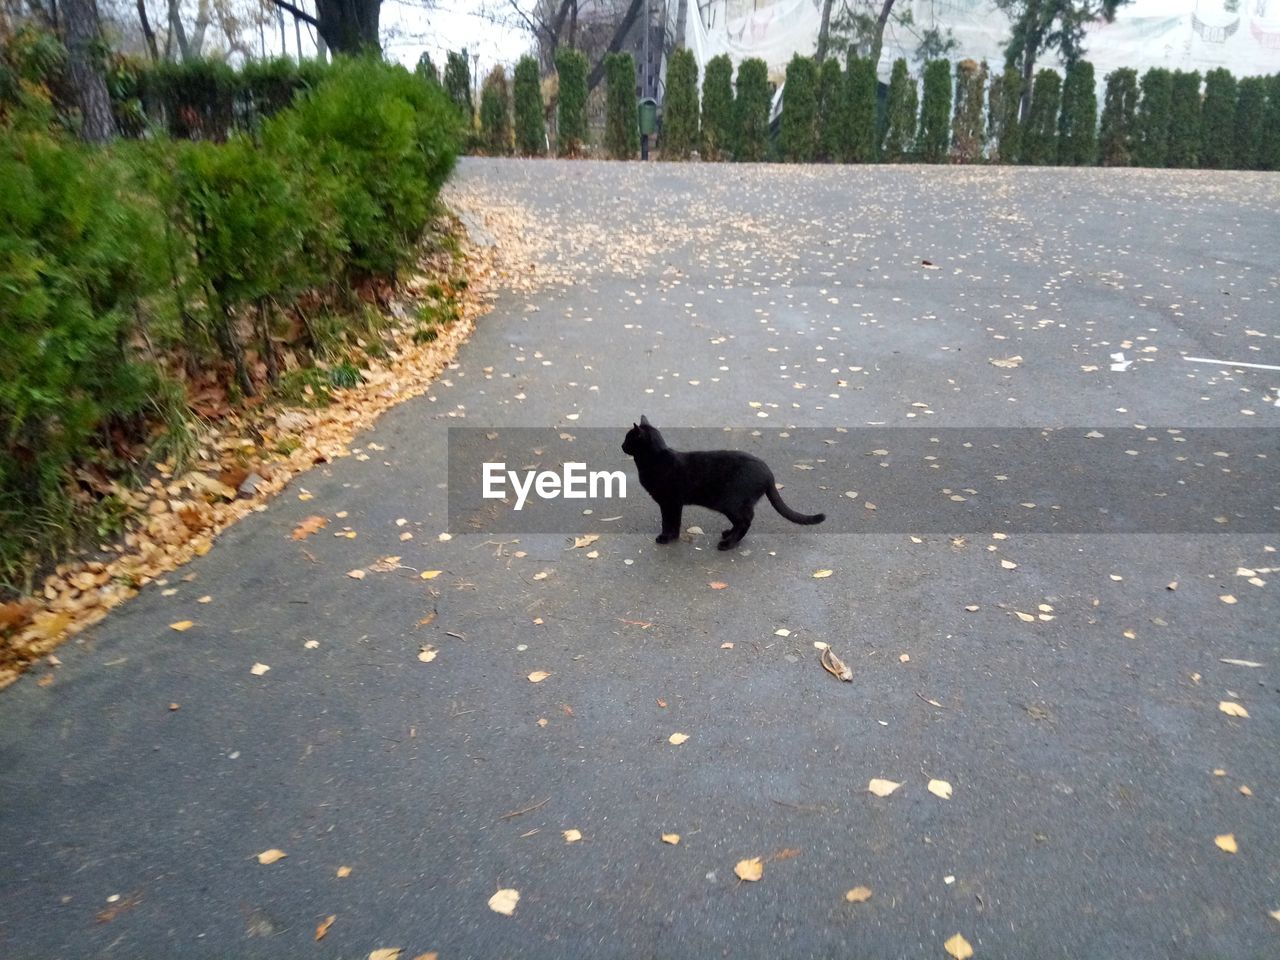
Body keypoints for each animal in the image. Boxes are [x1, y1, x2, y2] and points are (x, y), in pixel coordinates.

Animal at [622, 417, 829, 552]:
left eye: (628, 439)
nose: (621, 446)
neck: (655, 459)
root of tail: (768, 471)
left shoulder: (668, 502)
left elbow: (668, 522)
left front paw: (665, 538)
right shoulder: (676, 504)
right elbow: (675, 522)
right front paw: (673, 537)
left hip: (730, 502)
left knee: (746, 520)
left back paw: (728, 544)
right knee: (743, 521)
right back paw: (728, 534)